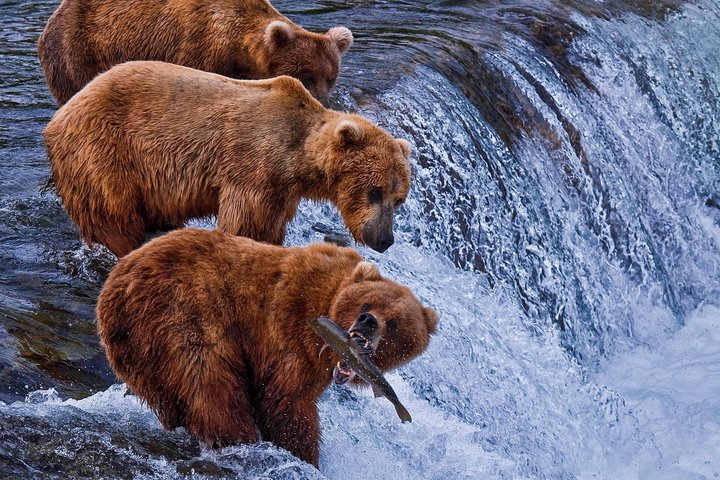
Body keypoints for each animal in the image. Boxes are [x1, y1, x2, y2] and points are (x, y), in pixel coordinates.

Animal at [44, 61, 412, 257]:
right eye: (374, 191)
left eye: (399, 199)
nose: (385, 240)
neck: (295, 157)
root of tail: (58, 117)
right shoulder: (252, 171)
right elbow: (245, 223)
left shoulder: (281, 191)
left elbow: (270, 225)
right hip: (105, 153)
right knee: (113, 215)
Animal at [96, 227, 438, 467]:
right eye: (367, 302)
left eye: (394, 323)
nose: (368, 321)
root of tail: (115, 285)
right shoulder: (288, 329)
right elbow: (287, 403)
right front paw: (305, 456)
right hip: (183, 309)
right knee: (210, 383)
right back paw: (237, 440)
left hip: (138, 350)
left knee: (171, 396)